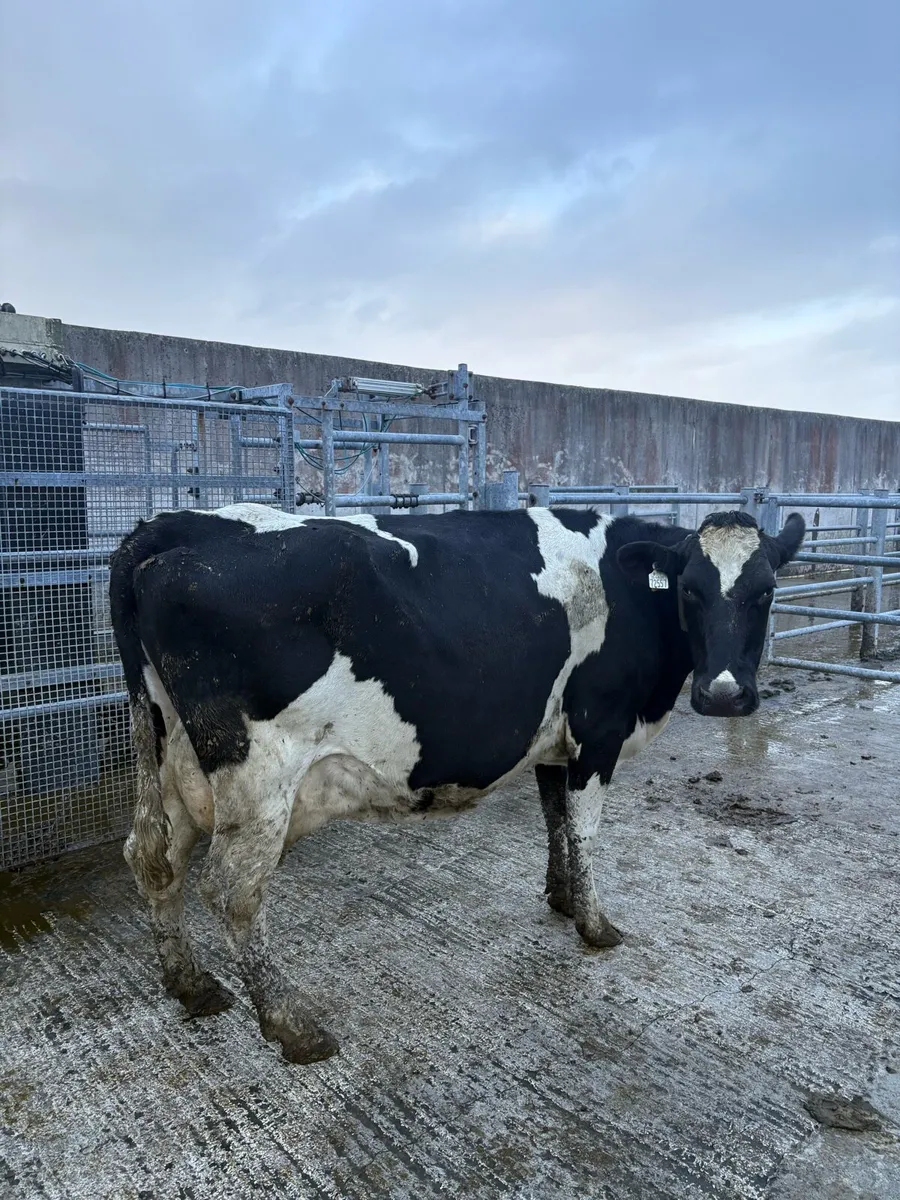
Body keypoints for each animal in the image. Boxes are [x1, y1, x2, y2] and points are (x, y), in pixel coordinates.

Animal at [109, 501, 805, 1063]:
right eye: (689, 589)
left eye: (767, 592)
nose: (724, 695)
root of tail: (159, 533)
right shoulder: (597, 730)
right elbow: (584, 830)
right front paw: (595, 924)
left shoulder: (553, 740)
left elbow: (554, 818)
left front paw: (561, 898)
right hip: (259, 779)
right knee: (232, 889)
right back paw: (291, 1024)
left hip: (167, 754)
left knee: (153, 857)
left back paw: (191, 985)